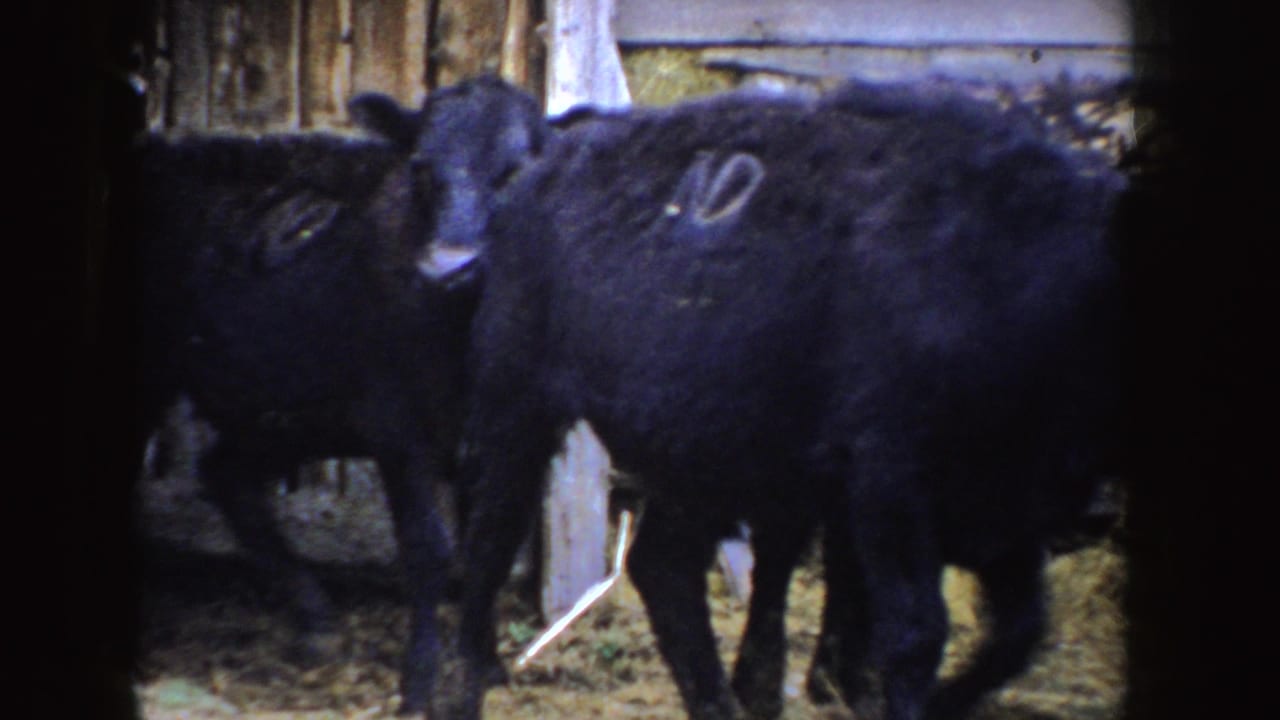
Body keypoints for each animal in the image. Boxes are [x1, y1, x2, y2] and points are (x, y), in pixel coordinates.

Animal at [135, 76, 544, 714]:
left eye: (517, 170)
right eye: (421, 167)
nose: (449, 267)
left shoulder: (500, 440)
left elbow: (487, 555)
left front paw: (486, 665)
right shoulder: (399, 429)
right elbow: (429, 552)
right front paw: (418, 684)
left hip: (288, 409)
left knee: (226, 475)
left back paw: (316, 619)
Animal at [399, 76, 1127, 720]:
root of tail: (554, 156)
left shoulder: (1010, 513)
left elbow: (1018, 633)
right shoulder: (890, 488)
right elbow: (916, 632)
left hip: (708, 450)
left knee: (662, 566)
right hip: (518, 406)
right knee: (493, 539)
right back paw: (460, 694)